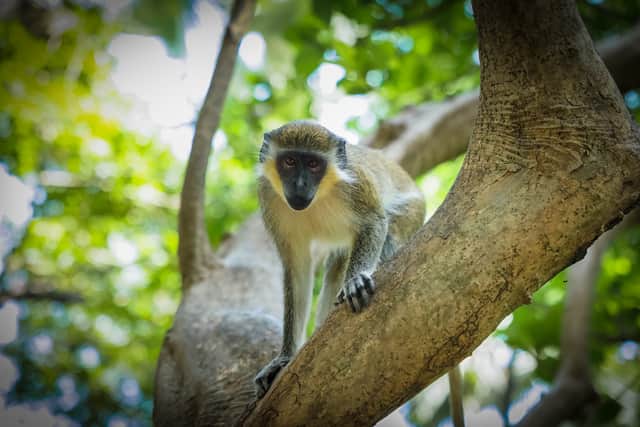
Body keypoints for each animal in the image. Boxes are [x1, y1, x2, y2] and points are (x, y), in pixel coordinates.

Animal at [253, 120, 426, 398]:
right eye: (289, 161)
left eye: (313, 164)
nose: (300, 185)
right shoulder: (269, 198)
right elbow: (297, 272)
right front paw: (284, 359)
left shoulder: (357, 186)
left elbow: (374, 222)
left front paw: (355, 281)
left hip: (412, 212)